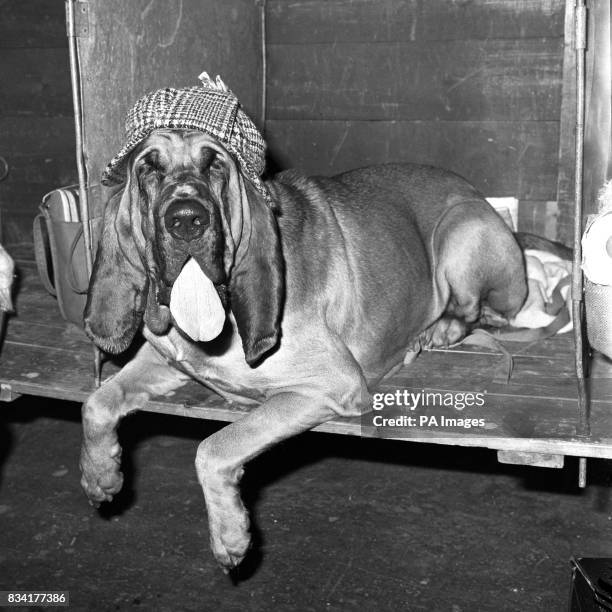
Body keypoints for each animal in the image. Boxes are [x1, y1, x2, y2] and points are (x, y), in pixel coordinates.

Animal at [80, 130, 524, 572]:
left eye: (216, 164)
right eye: (148, 168)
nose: (187, 219)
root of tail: (475, 194)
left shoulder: (330, 384)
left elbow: (214, 447)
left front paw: (230, 536)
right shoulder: (163, 358)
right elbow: (97, 402)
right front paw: (100, 475)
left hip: (461, 230)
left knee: (481, 312)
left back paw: (438, 330)